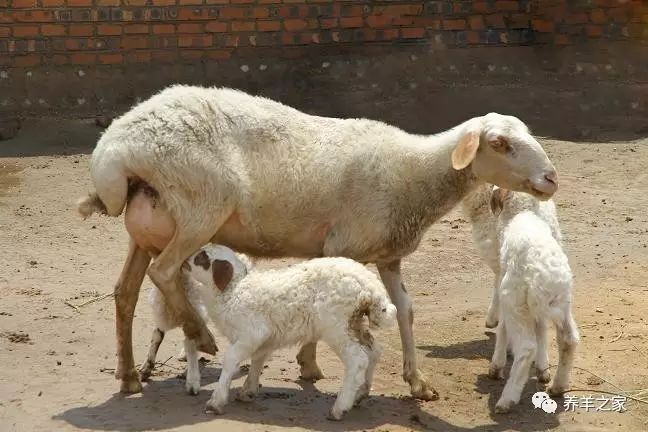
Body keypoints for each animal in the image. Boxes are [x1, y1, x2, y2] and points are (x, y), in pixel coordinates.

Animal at [78, 84, 560, 398]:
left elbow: (405, 310)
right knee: (164, 272)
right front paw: (308, 364)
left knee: (125, 291)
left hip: (147, 227)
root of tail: (114, 149)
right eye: (499, 143)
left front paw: (417, 381)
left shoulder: (387, 255)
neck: (412, 173)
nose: (551, 179)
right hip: (200, 207)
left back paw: (128, 376)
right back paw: (201, 336)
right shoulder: (342, 247)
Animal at [152, 245, 398, 420]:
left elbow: (230, 360)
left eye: (202, 257)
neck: (234, 289)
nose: (183, 261)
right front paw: (248, 391)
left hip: (335, 324)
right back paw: (360, 394)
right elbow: (258, 359)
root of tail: (370, 288)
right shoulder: (265, 337)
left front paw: (217, 401)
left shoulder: (252, 332)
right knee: (374, 350)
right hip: (354, 322)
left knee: (358, 358)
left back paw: (340, 407)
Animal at [474, 187, 580, 414]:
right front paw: (542, 369)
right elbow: (540, 329)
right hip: (562, 305)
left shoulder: (505, 290)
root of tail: (548, 279)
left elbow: (503, 327)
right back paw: (557, 386)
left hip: (515, 301)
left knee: (526, 347)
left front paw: (496, 366)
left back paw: (507, 399)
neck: (523, 212)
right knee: (569, 339)